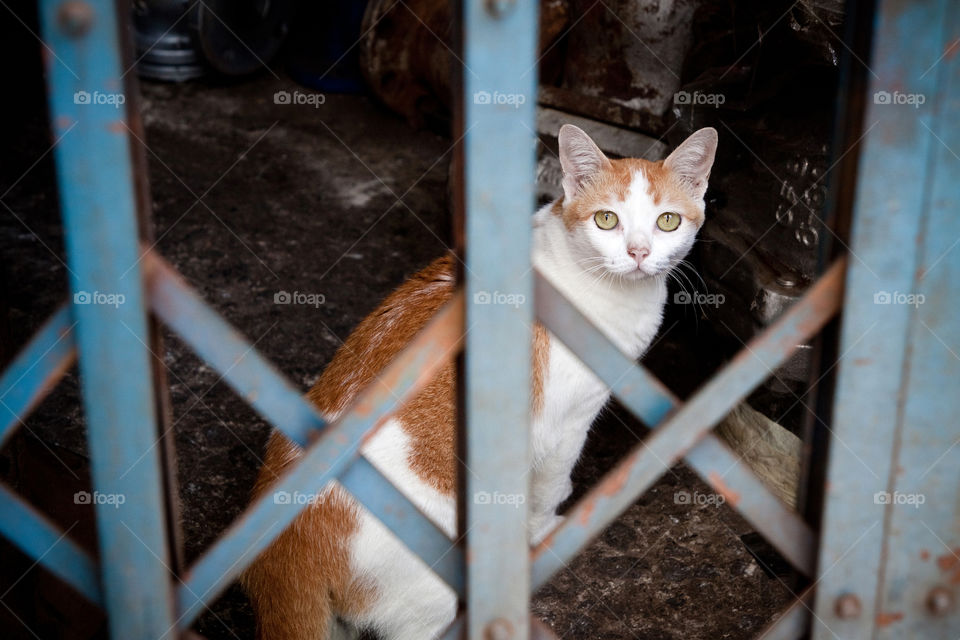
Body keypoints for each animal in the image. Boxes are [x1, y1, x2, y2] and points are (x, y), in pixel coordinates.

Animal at [244, 125, 716, 640]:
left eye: (667, 222)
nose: (638, 253)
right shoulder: (567, 424)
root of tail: (282, 555)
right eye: (606, 220)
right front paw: (544, 529)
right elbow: (548, 486)